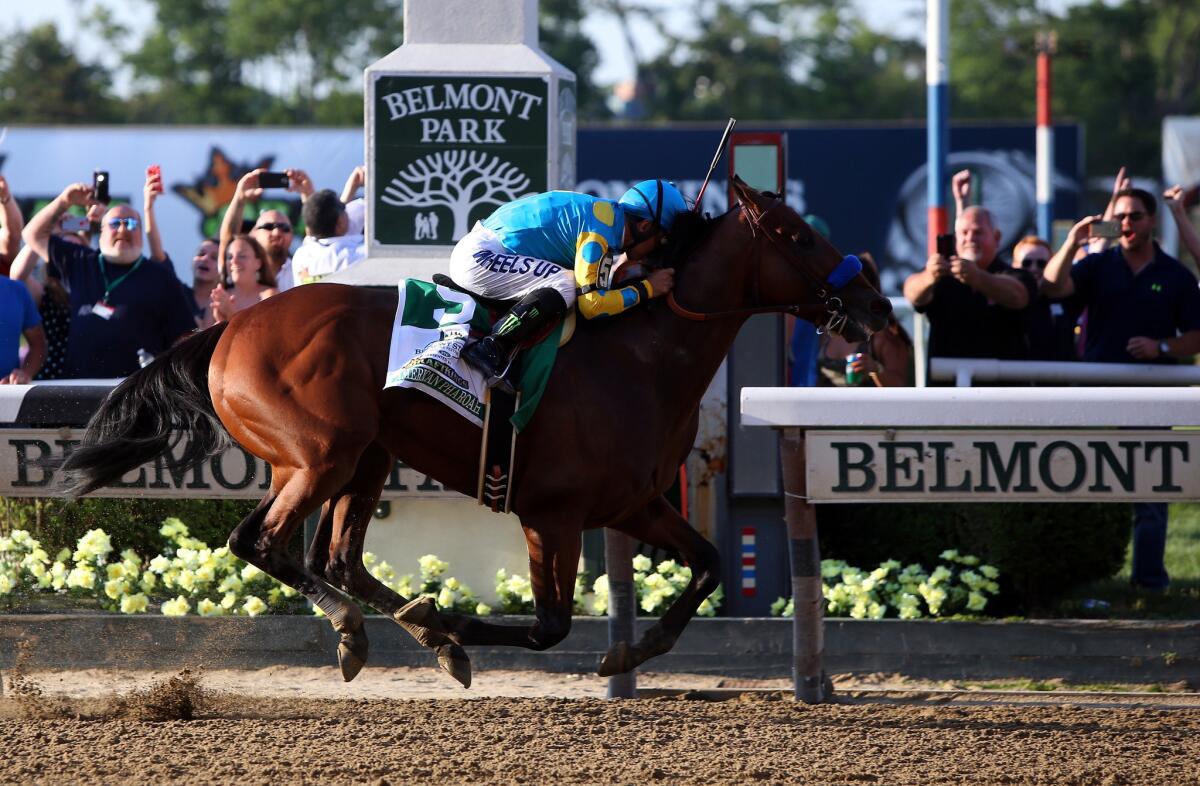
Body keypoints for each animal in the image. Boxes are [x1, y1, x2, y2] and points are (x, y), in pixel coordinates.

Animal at [63, 178, 892, 691]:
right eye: (795, 236)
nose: (877, 304)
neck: (641, 358)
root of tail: (229, 326)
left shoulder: (632, 504)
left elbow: (712, 563)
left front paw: (630, 650)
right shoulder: (551, 513)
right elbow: (551, 625)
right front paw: (451, 618)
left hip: (366, 455)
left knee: (336, 556)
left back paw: (408, 632)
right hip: (319, 454)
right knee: (258, 541)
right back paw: (375, 629)